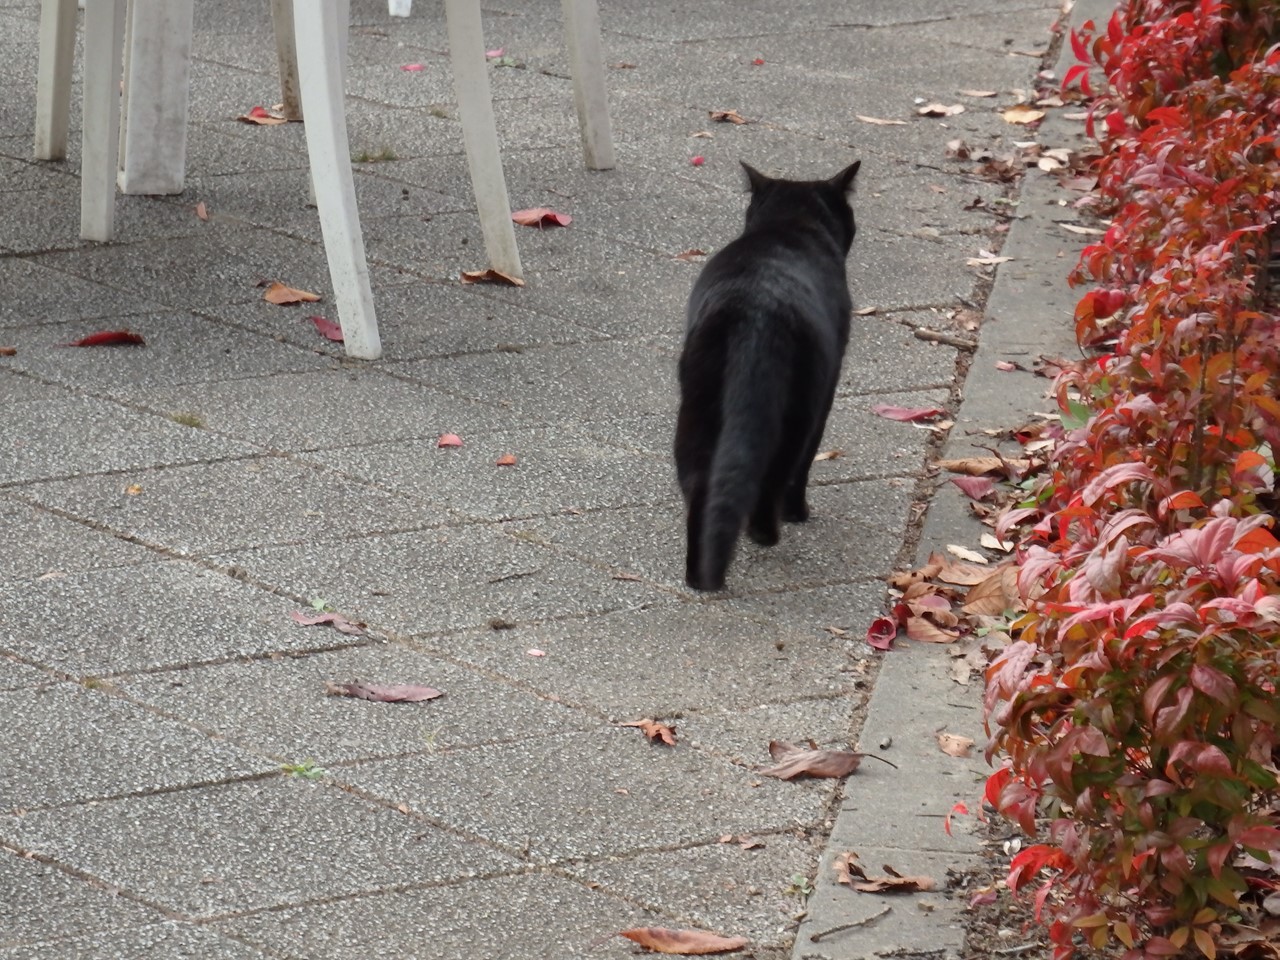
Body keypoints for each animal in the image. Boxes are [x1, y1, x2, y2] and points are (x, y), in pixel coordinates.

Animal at [670, 158, 860, 593]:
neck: (790, 224)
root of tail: (754, 310)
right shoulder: (828, 389)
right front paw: (797, 514)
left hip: (697, 407)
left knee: (699, 482)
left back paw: (701, 576)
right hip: (800, 408)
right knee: (780, 470)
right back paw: (766, 534)